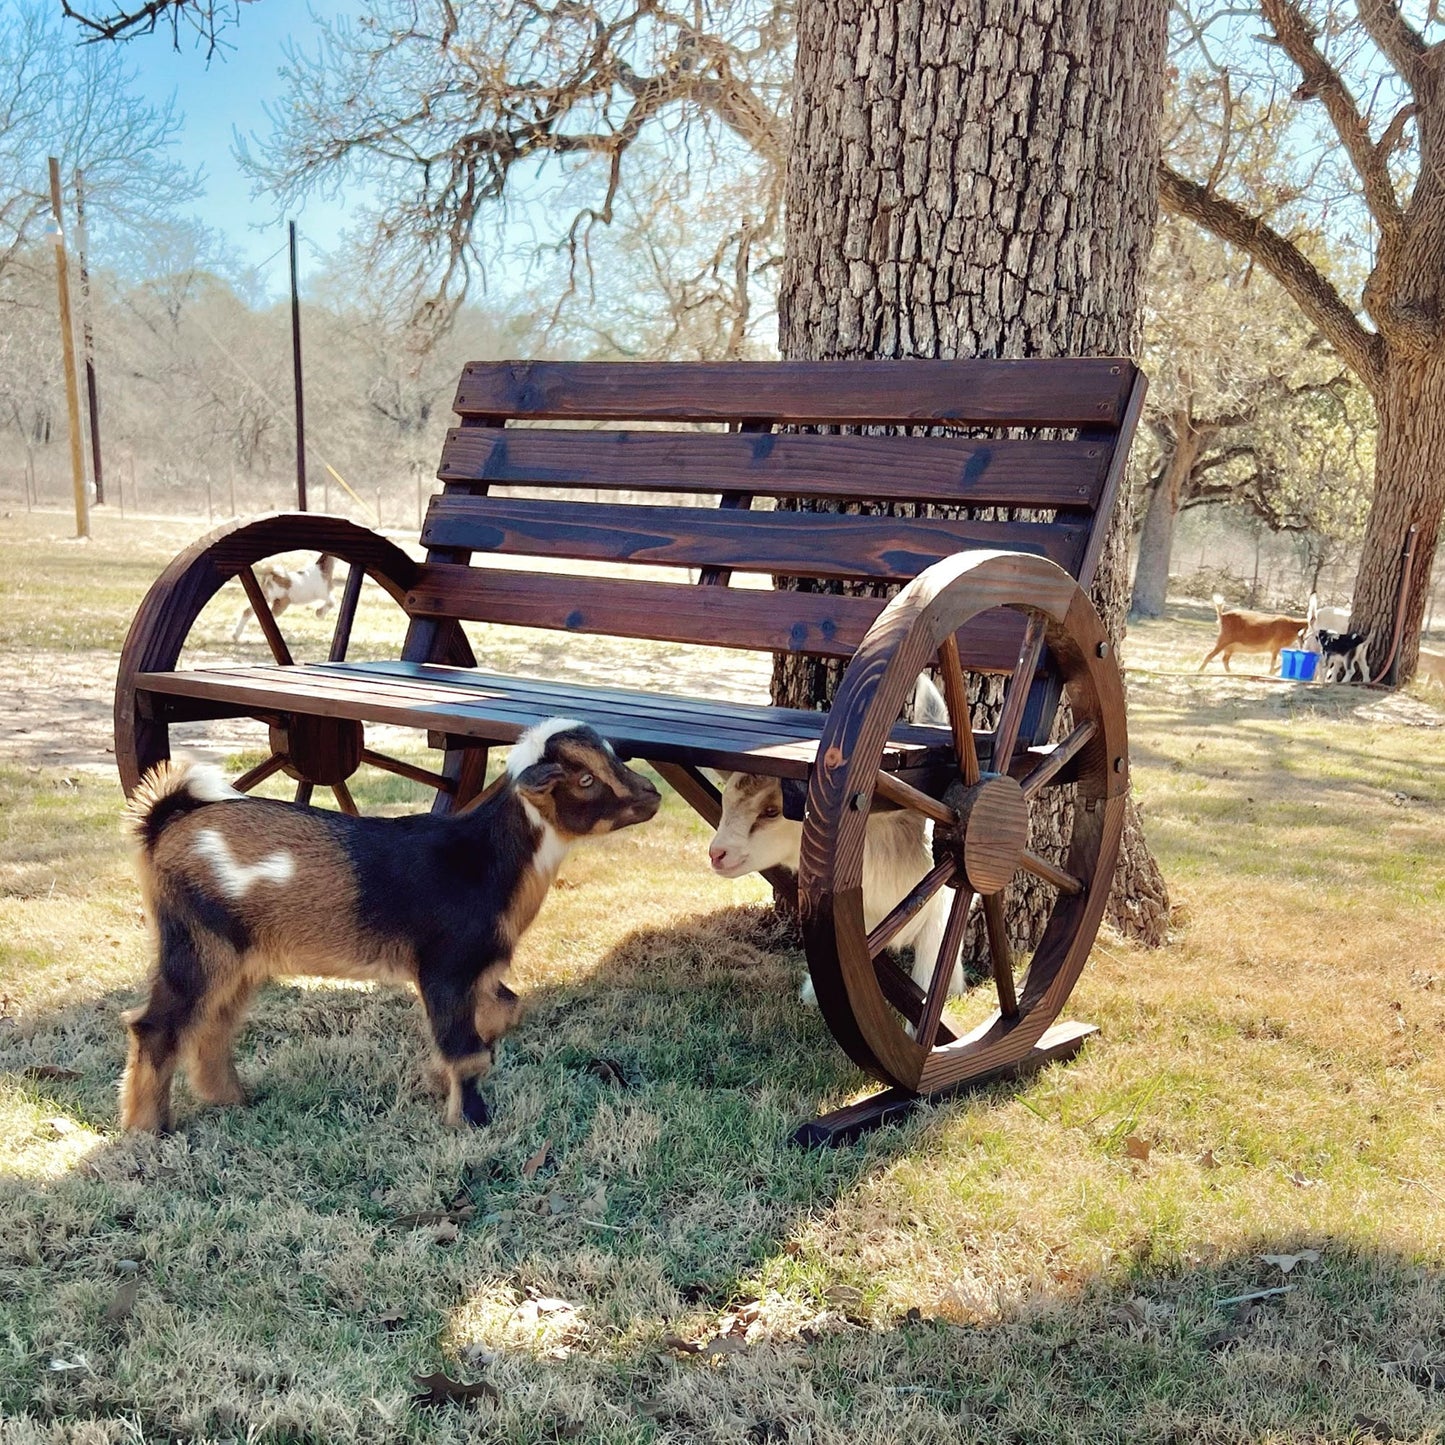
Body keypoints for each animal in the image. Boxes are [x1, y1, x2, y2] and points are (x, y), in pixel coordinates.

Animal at [118, 716, 661, 1132]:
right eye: (584, 779)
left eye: (614, 757)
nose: (653, 796)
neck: (484, 859)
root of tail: (167, 821)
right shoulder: (445, 969)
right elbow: (467, 1052)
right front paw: (470, 1121)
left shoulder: (479, 971)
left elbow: (501, 1016)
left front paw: (436, 1079)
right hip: (196, 944)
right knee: (157, 1026)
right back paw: (148, 1130)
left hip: (240, 960)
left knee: (214, 1023)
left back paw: (230, 1099)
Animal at [708, 673, 965, 1005]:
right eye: (725, 800)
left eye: (771, 811)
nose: (717, 853)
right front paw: (813, 996)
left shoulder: (939, 917)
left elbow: (928, 978)